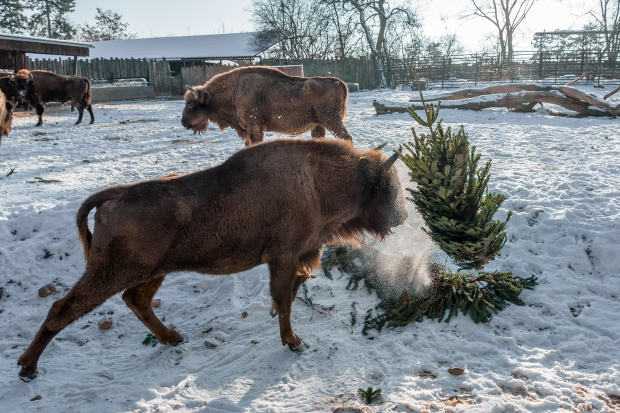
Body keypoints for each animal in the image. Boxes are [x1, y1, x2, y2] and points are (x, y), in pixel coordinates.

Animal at [15, 138, 406, 380]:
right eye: (386, 185)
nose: (401, 217)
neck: (314, 179)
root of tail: (114, 195)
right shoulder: (282, 257)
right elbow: (285, 299)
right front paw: (294, 342)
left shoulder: (300, 256)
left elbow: (293, 291)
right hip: (109, 273)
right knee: (63, 308)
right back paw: (27, 368)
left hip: (152, 272)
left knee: (136, 300)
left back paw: (173, 338)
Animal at [180, 65, 354, 146]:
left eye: (191, 105)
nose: (183, 122)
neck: (234, 90)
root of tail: (339, 82)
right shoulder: (247, 131)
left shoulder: (255, 128)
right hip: (319, 125)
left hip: (332, 122)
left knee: (347, 138)